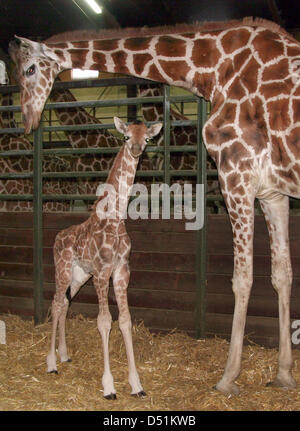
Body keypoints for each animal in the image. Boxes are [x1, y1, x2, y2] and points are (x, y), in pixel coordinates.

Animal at [47, 116, 163, 400]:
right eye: (125, 136)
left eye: (147, 138)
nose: (136, 149)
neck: (115, 219)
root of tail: (57, 237)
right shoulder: (102, 272)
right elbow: (103, 321)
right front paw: (109, 387)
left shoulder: (121, 271)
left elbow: (125, 320)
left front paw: (137, 385)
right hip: (62, 270)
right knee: (55, 303)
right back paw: (51, 363)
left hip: (79, 276)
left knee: (64, 304)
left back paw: (64, 355)